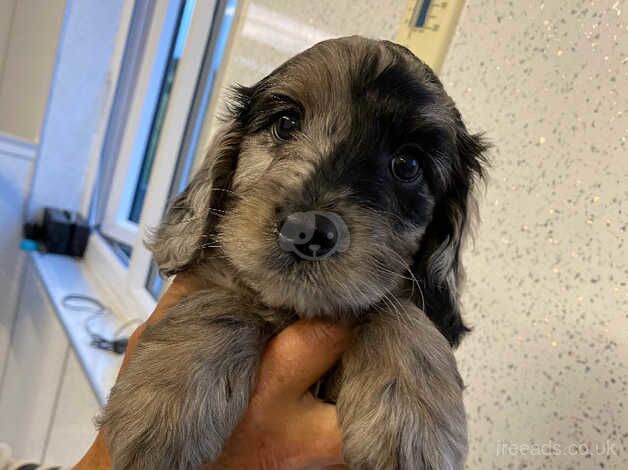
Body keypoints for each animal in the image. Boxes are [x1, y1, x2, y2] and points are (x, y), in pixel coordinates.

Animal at [100, 36, 488, 470]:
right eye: (286, 123)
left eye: (408, 163)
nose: (307, 231)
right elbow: (224, 299)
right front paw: (162, 403)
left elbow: (398, 311)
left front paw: (412, 423)